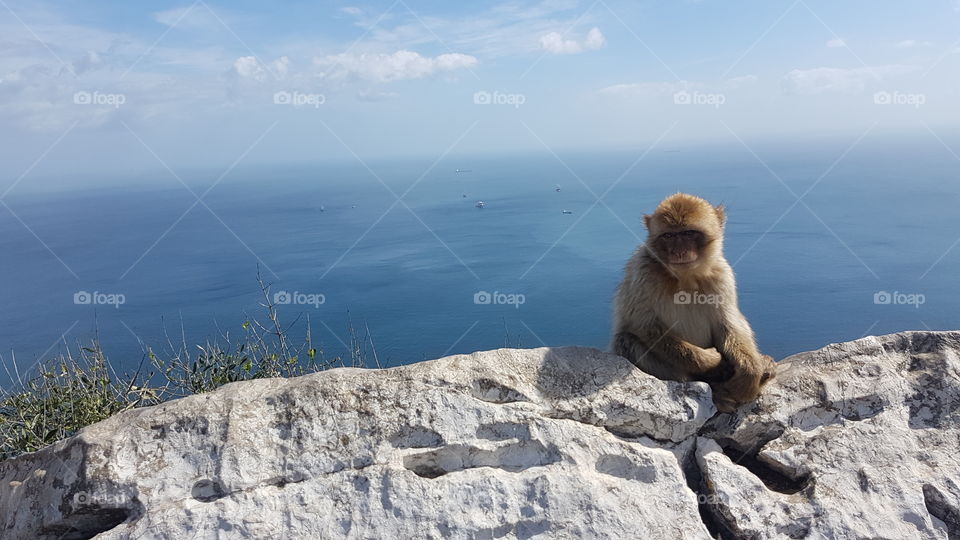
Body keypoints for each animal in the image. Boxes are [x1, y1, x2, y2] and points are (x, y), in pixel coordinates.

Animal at [610, 193, 775, 412]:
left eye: (689, 233)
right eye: (669, 236)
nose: (679, 251)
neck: (685, 278)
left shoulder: (722, 274)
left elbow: (728, 323)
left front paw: (751, 370)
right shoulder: (643, 271)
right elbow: (646, 327)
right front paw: (715, 362)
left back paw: (763, 369)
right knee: (626, 341)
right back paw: (717, 389)